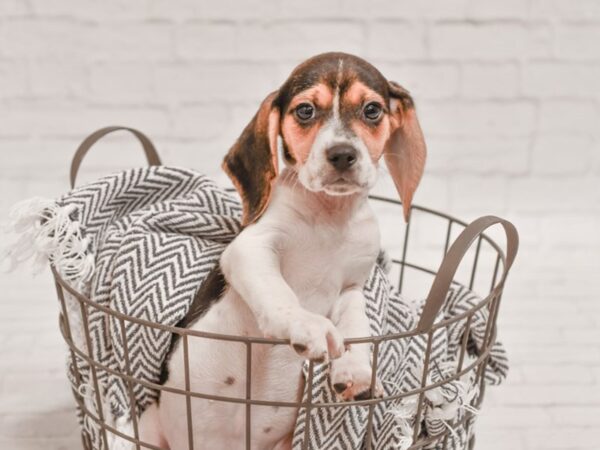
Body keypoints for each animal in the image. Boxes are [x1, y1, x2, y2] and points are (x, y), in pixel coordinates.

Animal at [141, 51, 426, 450]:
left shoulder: (353, 284)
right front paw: (304, 324)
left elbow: (358, 322)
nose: (342, 154)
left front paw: (355, 368)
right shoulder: (251, 248)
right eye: (305, 111)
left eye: (372, 110)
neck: (329, 216)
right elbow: (278, 292)